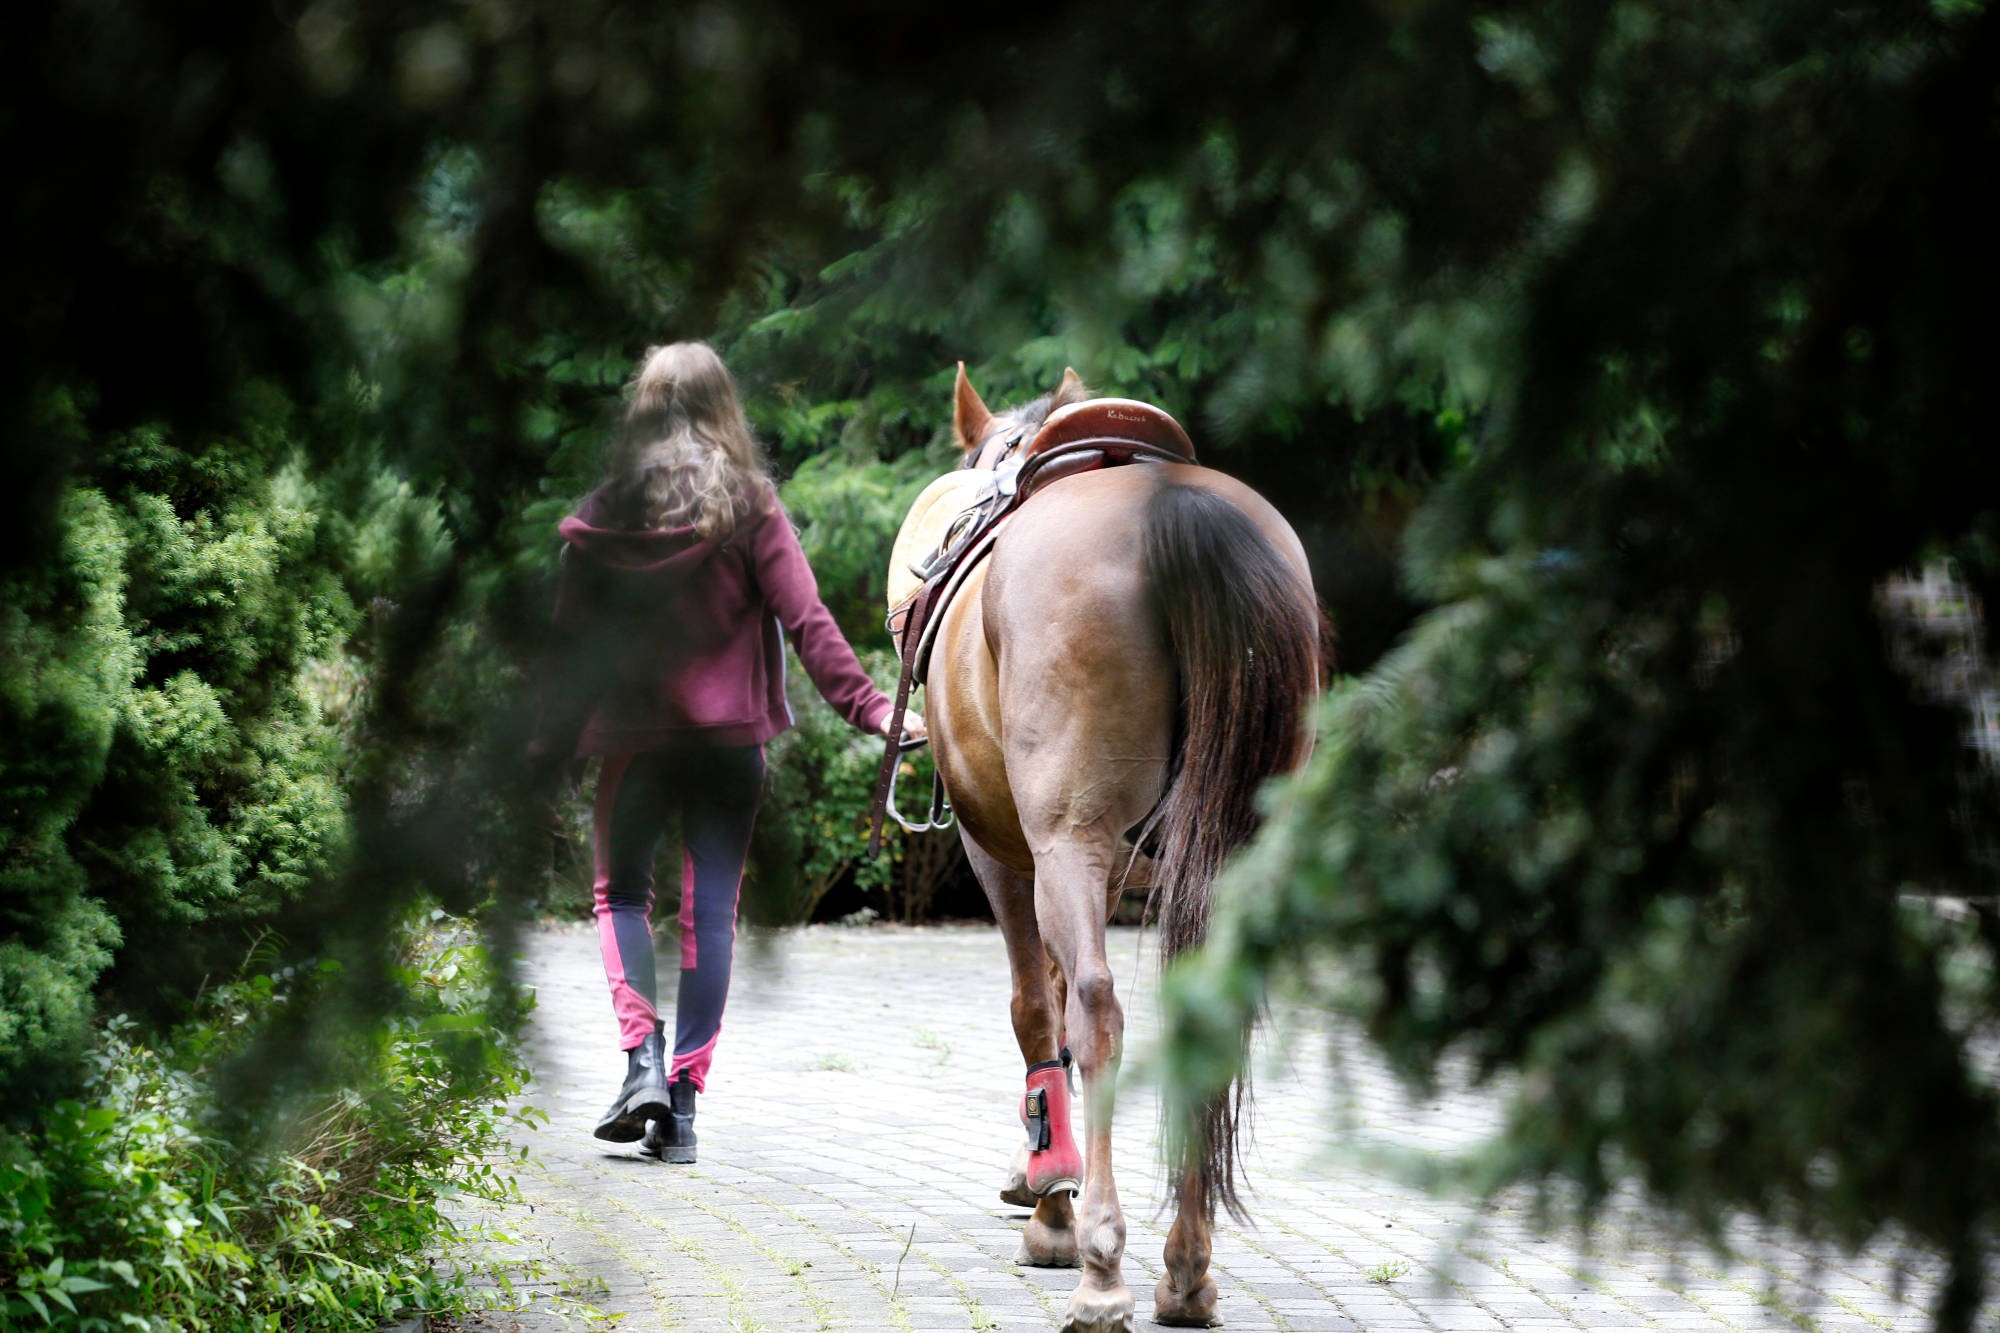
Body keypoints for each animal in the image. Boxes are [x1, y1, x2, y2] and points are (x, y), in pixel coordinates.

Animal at [919, 365, 1322, 1332]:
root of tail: (1171, 507)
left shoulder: (1007, 852)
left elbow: (1039, 1008)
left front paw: (1053, 1205)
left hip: (1066, 839)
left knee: (1095, 1010)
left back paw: (1104, 1264)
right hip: (1229, 848)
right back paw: (1186, 1269)